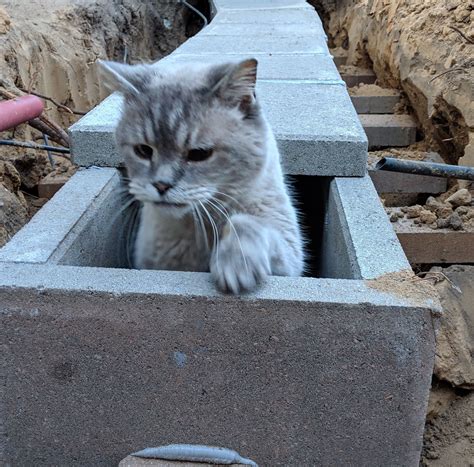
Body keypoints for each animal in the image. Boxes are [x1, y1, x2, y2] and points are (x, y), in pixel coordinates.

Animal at [99, 57, 304, 292]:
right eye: (143, 150)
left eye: (199, 154)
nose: (161, 185)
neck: (199, 226)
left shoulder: (290, 256)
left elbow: (246, 222)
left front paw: (235, 264)